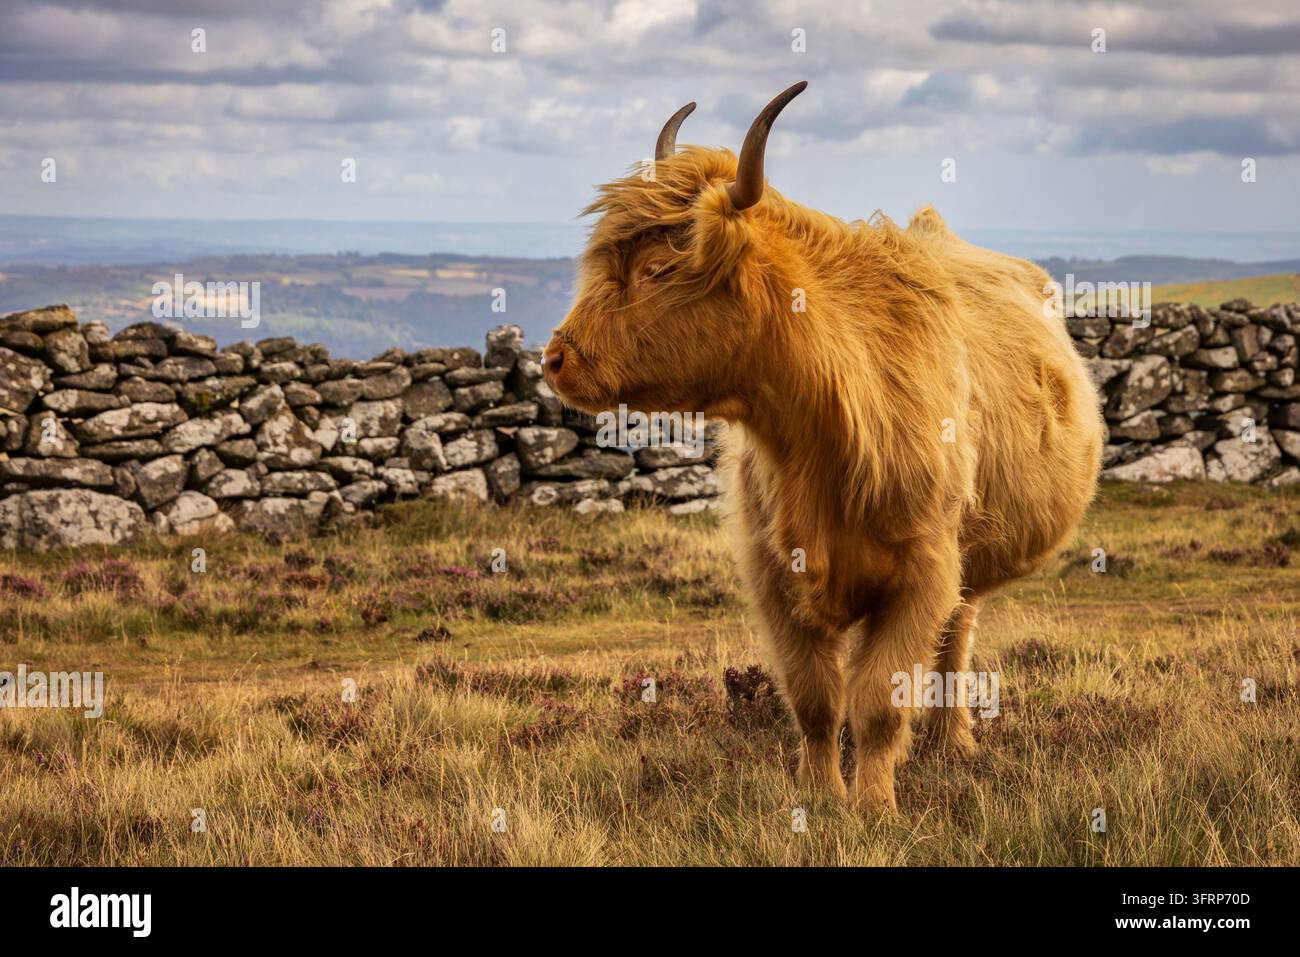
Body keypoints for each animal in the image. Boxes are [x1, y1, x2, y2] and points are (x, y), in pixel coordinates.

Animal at [541, 82, 1104, 811]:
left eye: (660, 269)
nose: (556, 359)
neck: (818, 435)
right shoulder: (772, 573)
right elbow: (813, 696)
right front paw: (818, 796)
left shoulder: (925, 568)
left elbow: (879, 701)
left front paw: (874, 807)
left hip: (966, 558)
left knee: (956, 637)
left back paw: (953, 742)